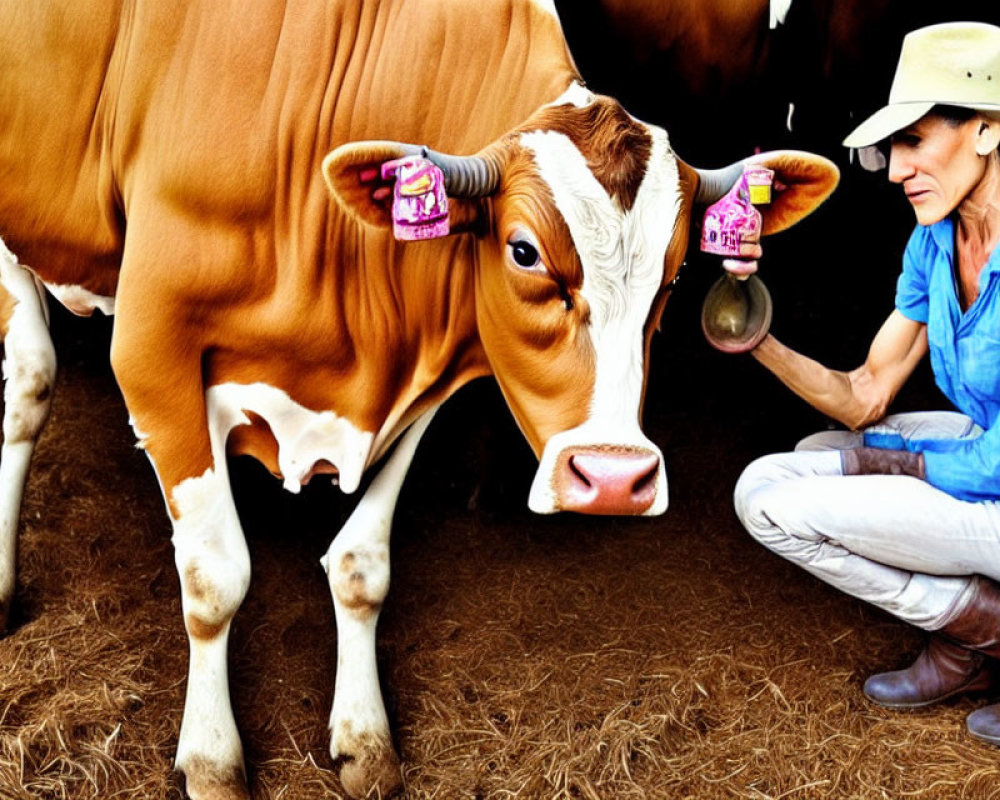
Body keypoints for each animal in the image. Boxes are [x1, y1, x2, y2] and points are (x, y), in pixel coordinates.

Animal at [0, 1, 840, 800]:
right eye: (523, 251)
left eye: (676, 274)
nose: (612, 479)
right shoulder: (153, 347)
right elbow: (214, 579)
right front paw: (212, 760)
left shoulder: (419, 375)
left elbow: (362, 566)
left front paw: (365, 740)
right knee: (29, 383)